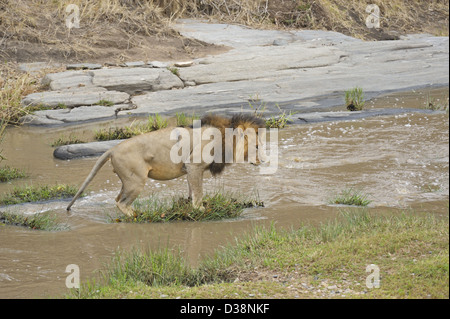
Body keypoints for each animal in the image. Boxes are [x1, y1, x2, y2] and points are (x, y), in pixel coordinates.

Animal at [65, 114, 266, 216]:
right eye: (256, 146)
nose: (263, 161)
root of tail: (112, 149)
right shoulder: (194, 165)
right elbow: (198, 192)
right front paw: (200, 209)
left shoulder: (190, 169)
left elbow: (192, 190)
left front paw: (187, 205)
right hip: (136, 181)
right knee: (121, 203)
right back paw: (138, 217)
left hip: (127, 181)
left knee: (117, 199)